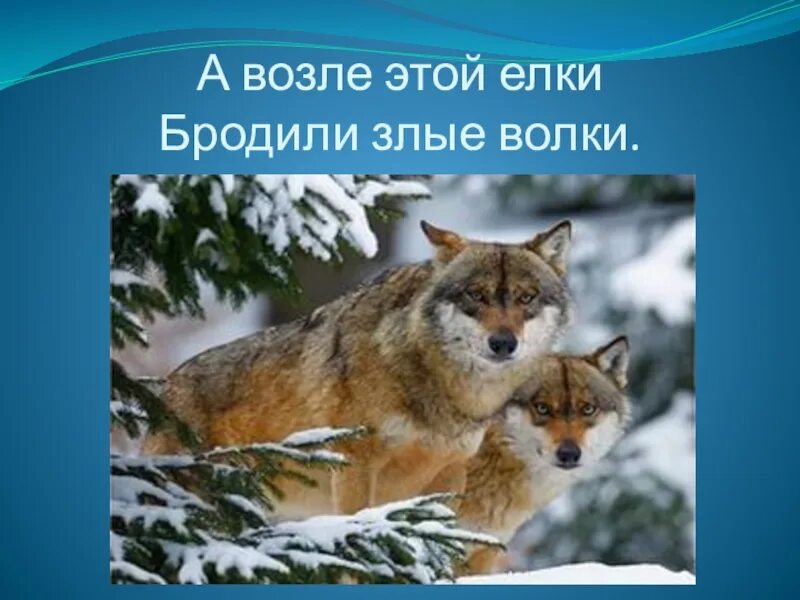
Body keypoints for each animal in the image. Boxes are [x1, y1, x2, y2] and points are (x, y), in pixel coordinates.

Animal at [143, 220, 573, 517]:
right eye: (476, 295)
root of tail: (165, 387)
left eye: (526, 297)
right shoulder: (355, 463)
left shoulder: (451, 473)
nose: (503, 343)